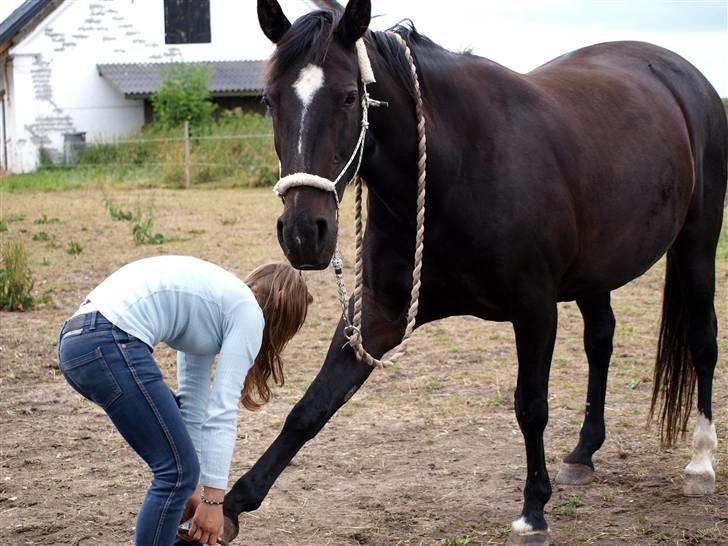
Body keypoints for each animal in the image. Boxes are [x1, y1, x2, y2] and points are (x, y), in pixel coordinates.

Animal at [223, 2, 728, 540]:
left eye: (348, 96)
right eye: (270, 100)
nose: (304, 232)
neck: (458, 167)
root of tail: (684, 75)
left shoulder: (535, 311)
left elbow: (531, 407)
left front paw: (533, 511)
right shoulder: (378, 314)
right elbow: (312, 406)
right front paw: (231, 504)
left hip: (697, 243)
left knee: (702, 340)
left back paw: (700, 462)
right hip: (597, 272)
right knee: (601, 342)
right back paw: (583, 453)